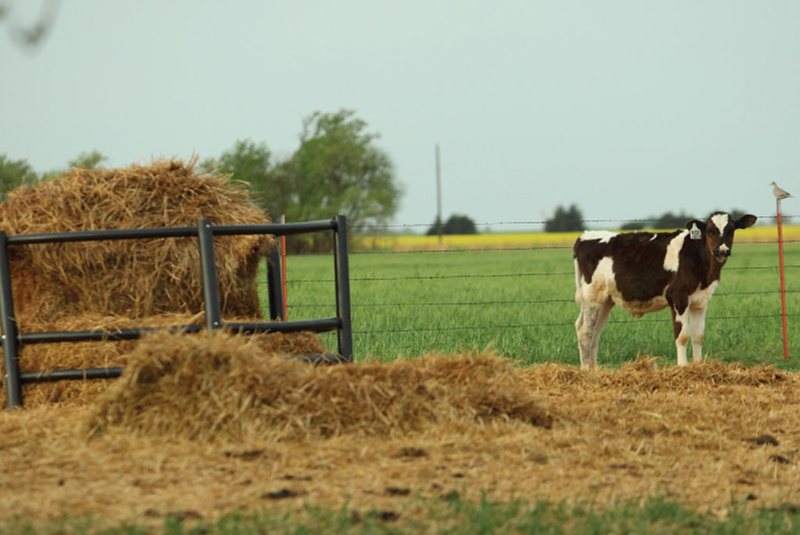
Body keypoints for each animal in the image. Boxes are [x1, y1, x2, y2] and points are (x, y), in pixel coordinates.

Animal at [573, 211, 757, 368]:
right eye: (710, 231)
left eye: (731, 230)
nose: (722, 251)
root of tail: (585, 236)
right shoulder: (678, 298)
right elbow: (682, 335)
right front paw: (683, 367)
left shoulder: (701, 301)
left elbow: (698, 336)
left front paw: (698, 366)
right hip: (593, 297)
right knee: (586, 331)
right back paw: (586, 370)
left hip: (605, 300)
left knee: (595, 332)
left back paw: (595, 369)